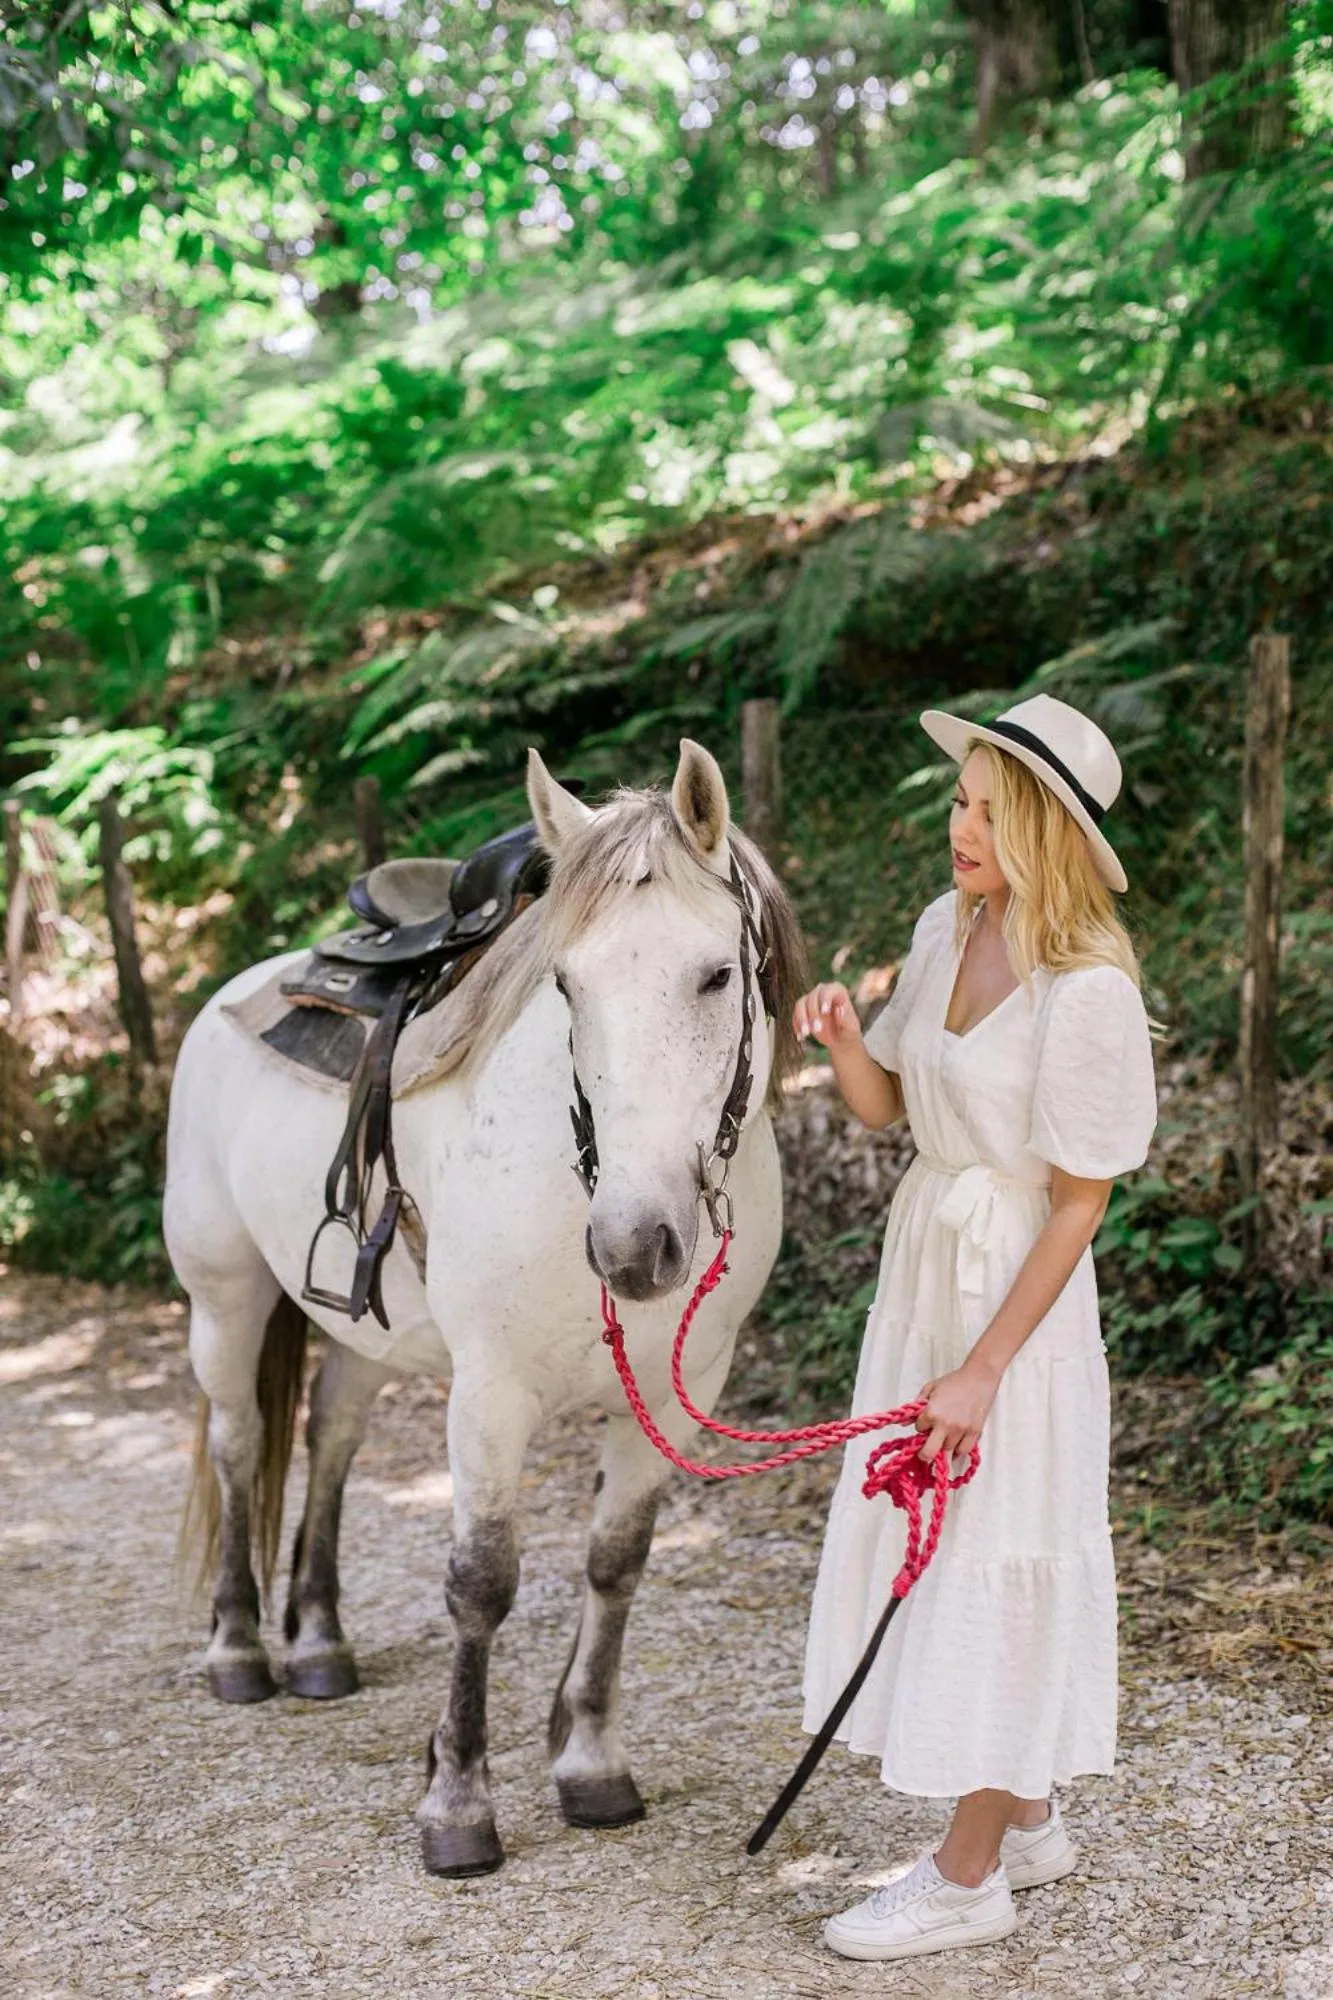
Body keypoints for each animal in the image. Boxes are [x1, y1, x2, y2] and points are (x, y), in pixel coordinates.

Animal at [168, 739, 807, 1876]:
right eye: (566, 984)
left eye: (716, 973)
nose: (633, 1244)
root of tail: (228, 992)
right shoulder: (491, 1392)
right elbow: (481, 1579)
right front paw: (457, 1799)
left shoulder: (674, 1394)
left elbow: (614, 1563)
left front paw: (588, 1757)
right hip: (224, 1298)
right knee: (239, 1443)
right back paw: (240, 1648)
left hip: (363, 1331)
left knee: (329, 1438)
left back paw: (320, 1642)